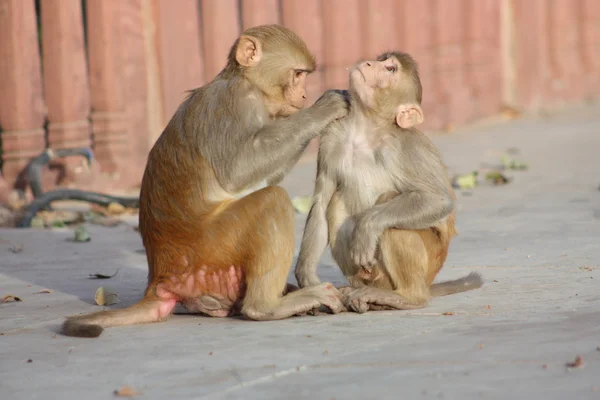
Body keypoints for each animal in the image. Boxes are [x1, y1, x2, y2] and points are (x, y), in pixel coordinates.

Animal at [61, 24, 350, 338]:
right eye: (298, 74)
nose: (305, 95)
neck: (247, 82)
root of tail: (160, 278)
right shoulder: (235, 104)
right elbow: (237, 169)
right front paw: (325, 108)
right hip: (212, 247)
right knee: (272, 200)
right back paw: (268, 306)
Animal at [292, 50, 486, 312]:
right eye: (381, 60)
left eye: (390, 69)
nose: (368, 63)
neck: (365, 130)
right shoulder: (331, 139)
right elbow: (322, 202)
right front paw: (309, 281)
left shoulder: (405, 147)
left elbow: (439, 201)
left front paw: (367, 226)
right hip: (365, 273)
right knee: (335, 202)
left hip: (425, 264)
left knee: (392, 216)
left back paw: (406, 297)